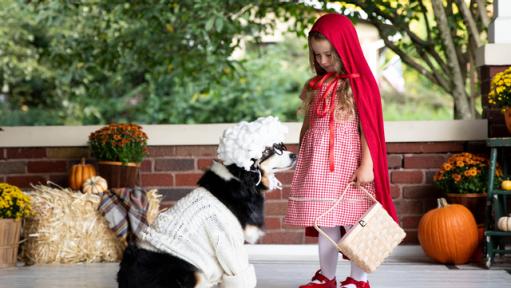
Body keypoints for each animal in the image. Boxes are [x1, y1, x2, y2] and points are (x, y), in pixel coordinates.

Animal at [117, 117, 296, 288]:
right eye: (268, 150)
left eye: (279, 146)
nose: (294, 155)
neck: (241, 179)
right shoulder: (228, 240)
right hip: (189, 272)